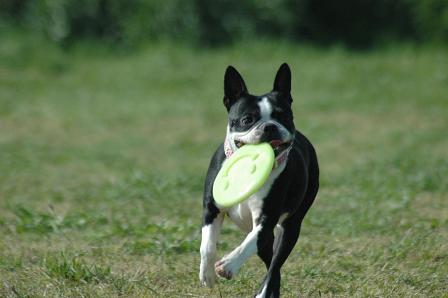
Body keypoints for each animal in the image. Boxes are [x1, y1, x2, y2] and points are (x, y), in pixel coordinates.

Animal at [200, 63, 318, 298]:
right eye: (247, 120)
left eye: (284, 117)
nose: (270, 126)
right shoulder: (211, 209)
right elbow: (207, 244)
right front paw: (207, 274)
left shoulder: (266, 220)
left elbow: (248, 245)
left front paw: (228, 265)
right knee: (270, 260)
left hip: (291, 227)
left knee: (274, 265)